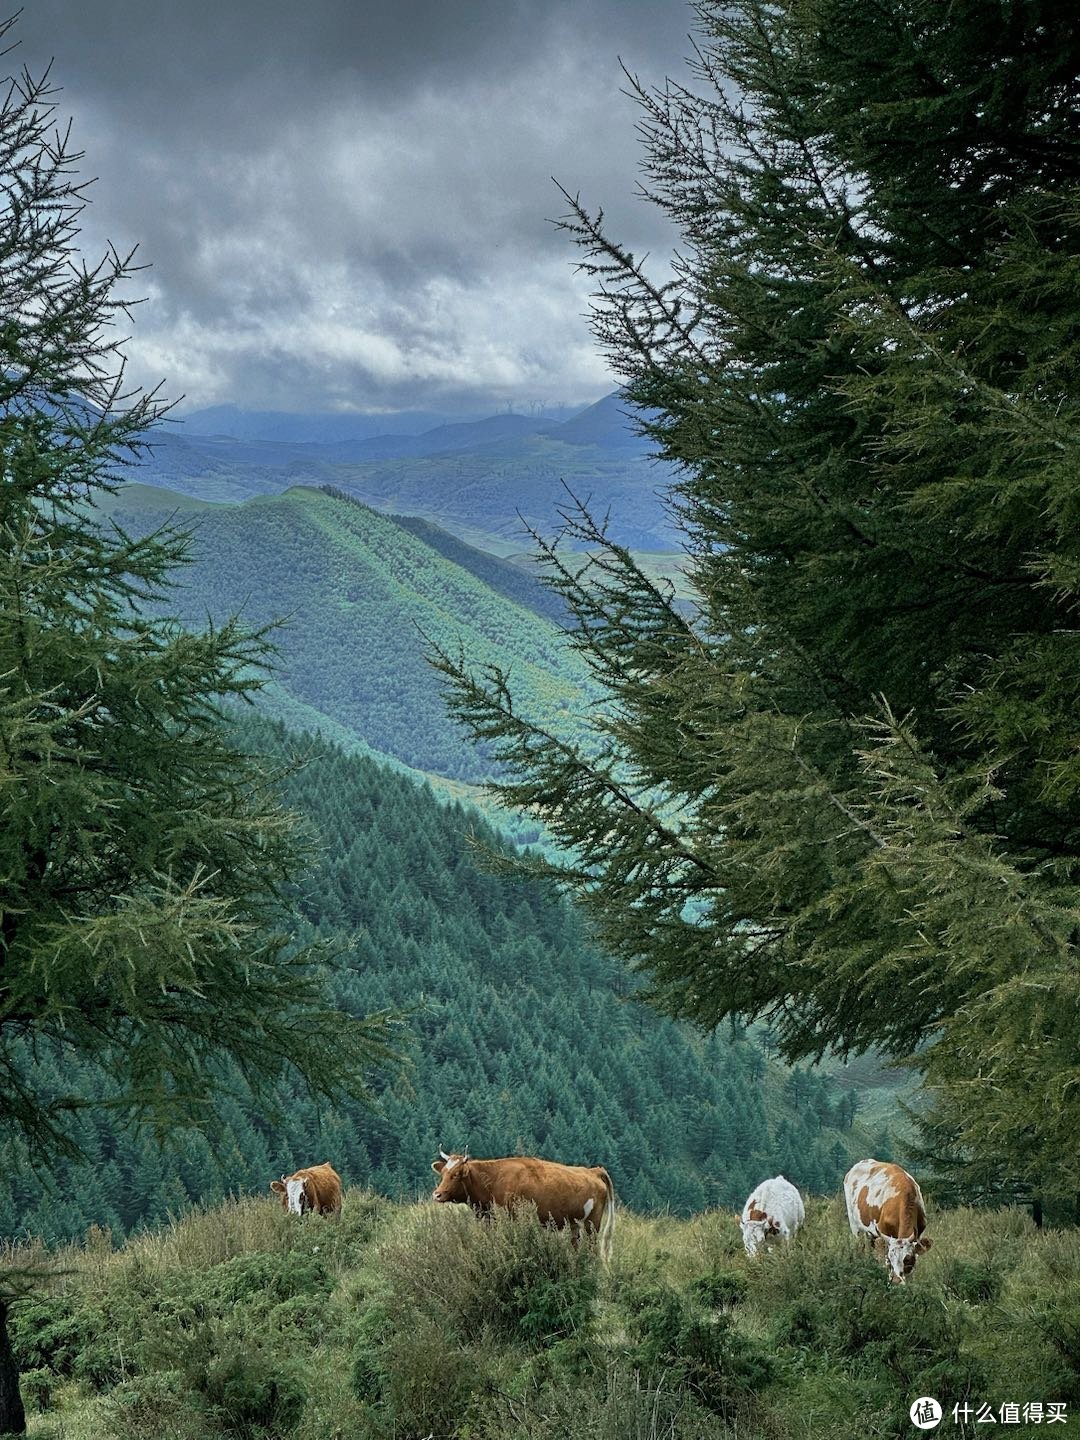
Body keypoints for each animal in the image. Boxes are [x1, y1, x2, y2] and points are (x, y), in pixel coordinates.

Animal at [432, 1146, 616, 1261]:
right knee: (576, 1245)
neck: (492, 1180)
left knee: (592, 1247)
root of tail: (593, 1170)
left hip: (592, 1222)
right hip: (574, 1223)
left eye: (456, 1174)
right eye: (443, 1172)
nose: (437, 1194)